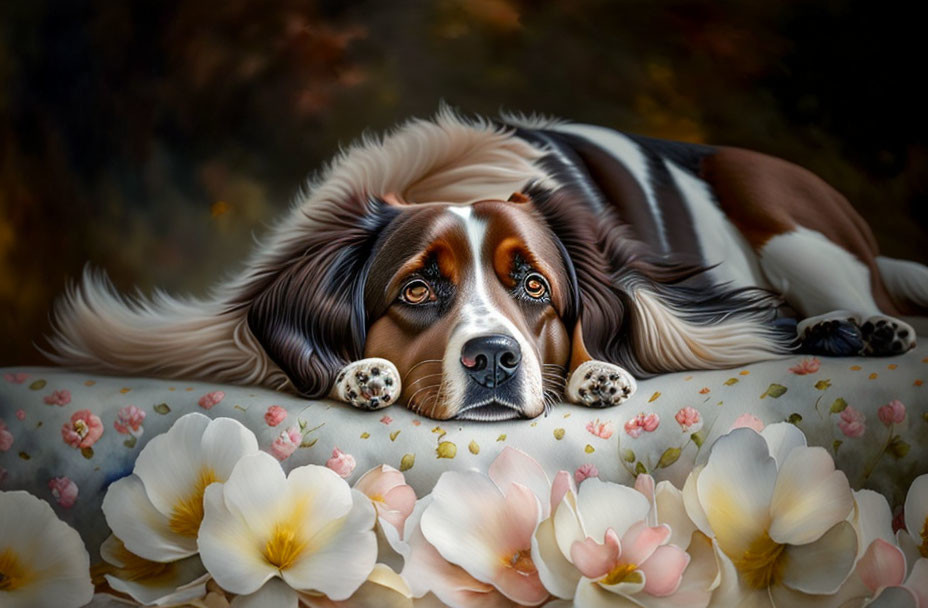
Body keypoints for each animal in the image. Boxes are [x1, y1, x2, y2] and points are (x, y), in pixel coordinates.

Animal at [49, 109, 928, 420]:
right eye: (416, 288)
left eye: (534, 286)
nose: (496, 360)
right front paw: (359, 374)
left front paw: (594, 372)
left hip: (776, 203)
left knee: (856, 292)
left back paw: (858, 327)